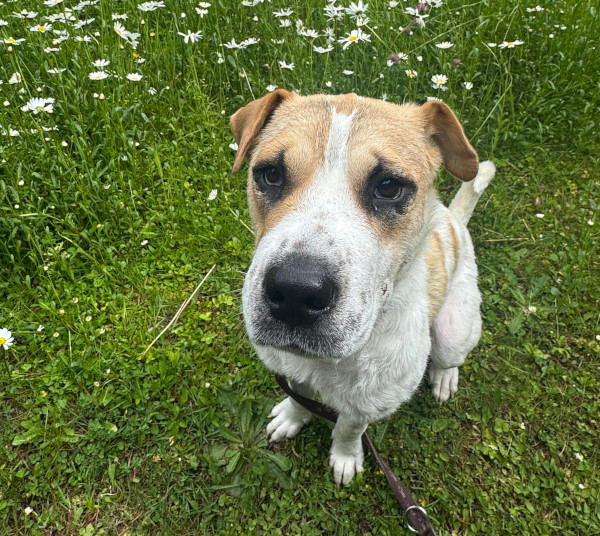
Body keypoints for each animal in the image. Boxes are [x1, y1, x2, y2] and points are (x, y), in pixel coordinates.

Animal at [230, 90, 495, 486]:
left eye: (388, 186)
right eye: (271, 174)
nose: (295, 292)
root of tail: (455, 222)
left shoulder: (370, 403)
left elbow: (348, 429)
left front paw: (344, 457)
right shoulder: (290, 371)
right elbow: (298, 399)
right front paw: (292, 418)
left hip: (454, 329)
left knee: (450, 356)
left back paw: (444, 376)